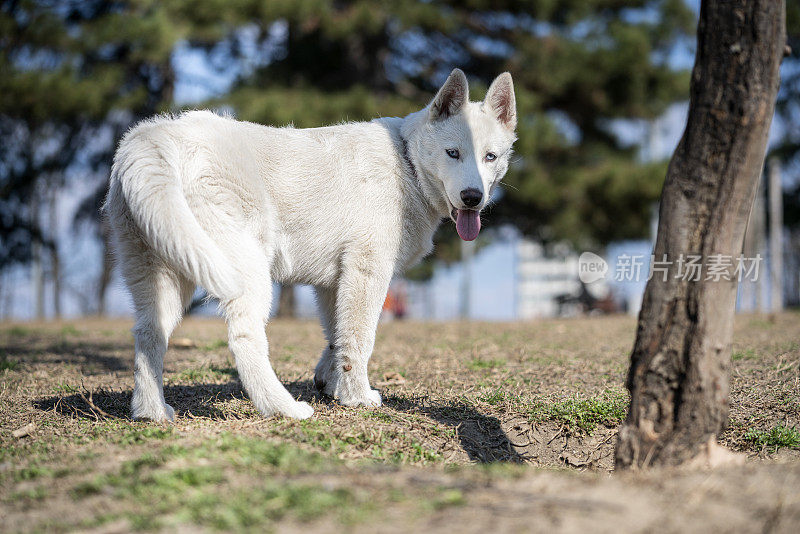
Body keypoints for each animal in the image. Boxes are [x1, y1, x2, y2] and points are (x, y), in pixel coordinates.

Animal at [104, 69, 520, 420]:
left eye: (490, 157)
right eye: (453, 153)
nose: (472, 198)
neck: (408, 164)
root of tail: (155, 139)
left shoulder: (332, 283)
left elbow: (337, 337)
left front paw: (330, 383)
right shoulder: (367, 272)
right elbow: (359, 338)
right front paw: (357, 397)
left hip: (163, 274)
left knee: (148, 335)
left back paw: (152, 412)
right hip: (243, 273)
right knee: (243, 338)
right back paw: (283, 408)